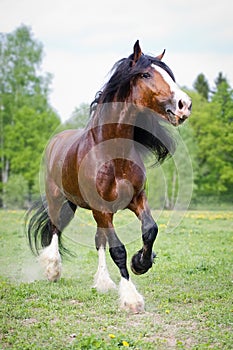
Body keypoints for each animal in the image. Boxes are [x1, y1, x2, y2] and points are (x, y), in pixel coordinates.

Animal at [26, 40, 191, 312]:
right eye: (146, 75)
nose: (184, 105)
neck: (112, 153)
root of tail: (56, 141)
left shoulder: (135, 199)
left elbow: (150, 230)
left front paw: (141, 262)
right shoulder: (101, 208)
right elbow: (118, 250)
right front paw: (131, 298)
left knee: (97, 239)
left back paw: (103, 282)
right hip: (60, 200)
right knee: (54, 228)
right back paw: (53, 270)